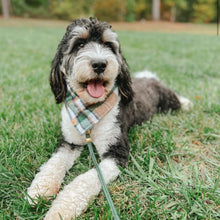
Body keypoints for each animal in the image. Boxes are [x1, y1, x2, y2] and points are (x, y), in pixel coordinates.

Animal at [27, 17, 192, 220]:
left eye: (108, 45)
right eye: (80, 44)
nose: (99, 64)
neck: (89, 112)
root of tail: (149, 78)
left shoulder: (115, 153)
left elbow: (85, 180)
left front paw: (60, 210)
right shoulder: (69, 142)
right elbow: (52, 164)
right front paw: (40, 189)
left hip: (167, 99)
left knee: (176, 99)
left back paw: (187, 103)